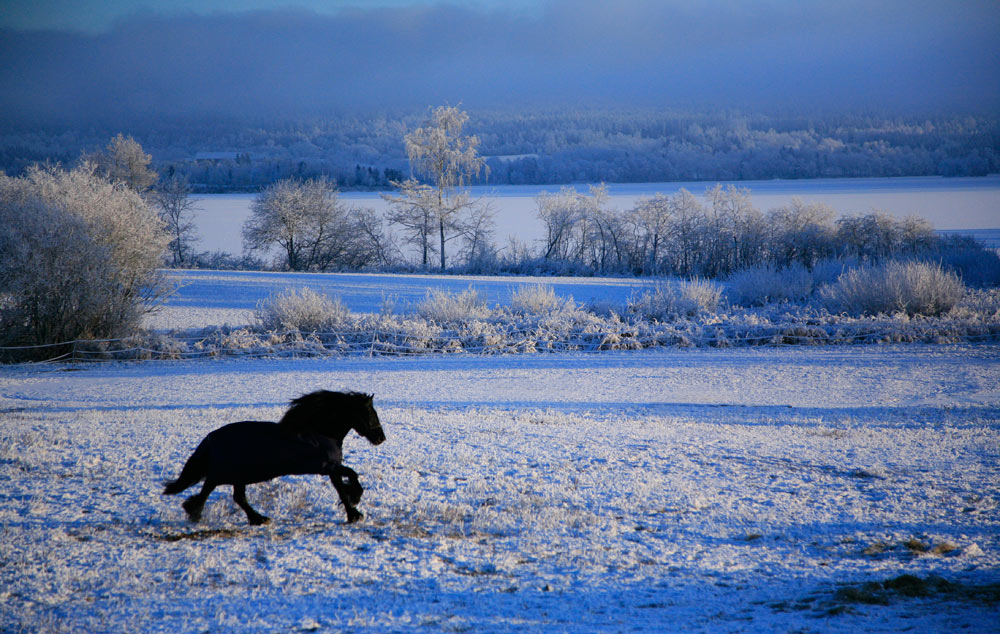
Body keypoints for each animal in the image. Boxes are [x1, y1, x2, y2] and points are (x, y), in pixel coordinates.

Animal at [162, 390, 384, 524]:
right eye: (370, 413)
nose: (381, 438)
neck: (320, 430)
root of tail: (210, 438)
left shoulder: (329, 467)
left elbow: (341, 487)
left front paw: (353, 510)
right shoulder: (328, 465)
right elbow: (351, 476)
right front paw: (355, 503)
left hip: (238, 475)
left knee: (237, 496)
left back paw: (257, 518)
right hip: (227, 472)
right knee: (210, 488)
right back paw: (195, 511)